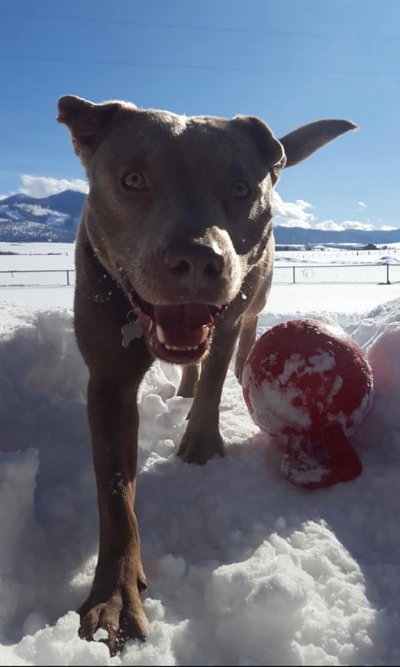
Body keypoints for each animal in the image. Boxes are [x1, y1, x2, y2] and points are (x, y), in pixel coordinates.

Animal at [57, 96, 356, 656]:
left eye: (241, 188)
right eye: (133, 179)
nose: (197, 259)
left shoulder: (229, 316)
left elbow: (215, 379)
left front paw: (200, 442)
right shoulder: (108, 379)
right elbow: (115, 495)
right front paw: (114, 599)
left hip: (255, 291)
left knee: (239, 340)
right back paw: (182, 388)